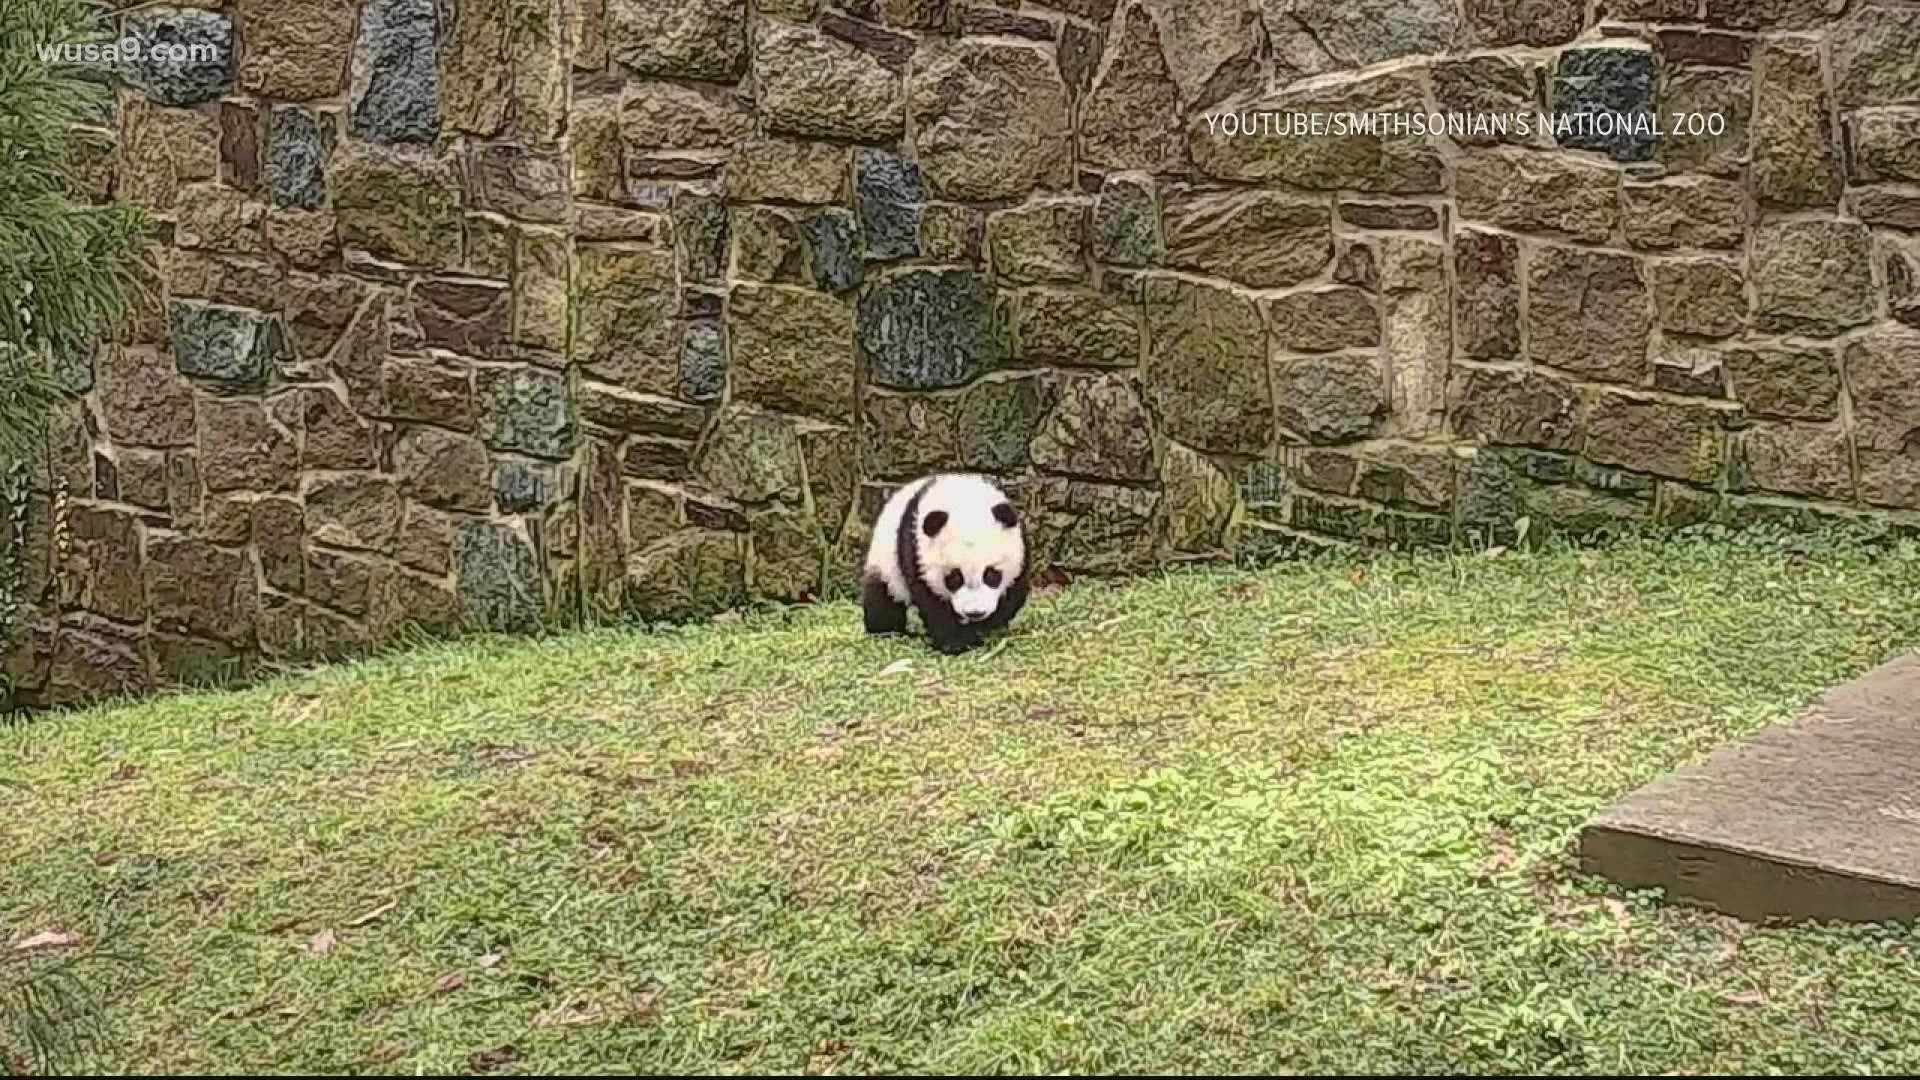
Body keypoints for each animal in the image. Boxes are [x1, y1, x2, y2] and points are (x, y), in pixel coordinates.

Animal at [864, 468, 1029, 653]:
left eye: (991, 574)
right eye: (954, 578)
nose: (975, 613)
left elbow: (1013, 593)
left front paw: (987, 628)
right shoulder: (914, 549)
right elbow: (932, 602)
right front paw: (956, 642)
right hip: (885, 562)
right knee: (883, 598)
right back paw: (887, 631)